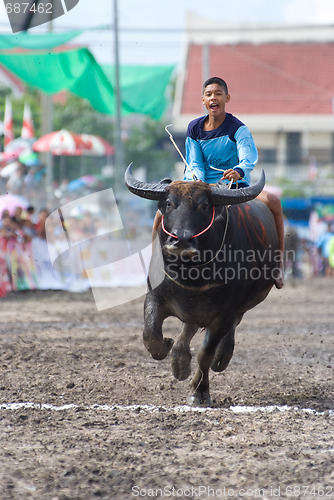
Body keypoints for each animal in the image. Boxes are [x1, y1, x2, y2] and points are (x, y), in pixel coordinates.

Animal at [124, 164, 280, 406]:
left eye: (205, 206)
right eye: (169, 203)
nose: (181, 240)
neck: (191, 274)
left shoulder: (224, 313)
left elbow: (205, 353)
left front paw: (200, 393)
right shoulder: (155, 296)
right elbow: (151, 337)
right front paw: (169, 347)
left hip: (240, 307)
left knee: (225, 332)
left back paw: (221, 357)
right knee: (188, 328)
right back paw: (179, 361)